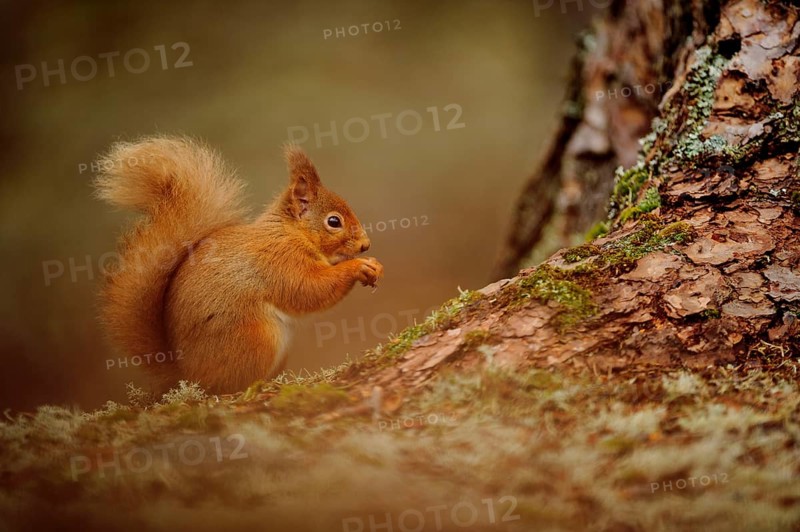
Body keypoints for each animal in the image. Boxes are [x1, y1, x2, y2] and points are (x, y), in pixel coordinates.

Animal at [94, 135, 383, 395]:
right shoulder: (280, 260)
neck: (292, 232)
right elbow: (309, 289)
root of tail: (186, 375)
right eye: (334, 221)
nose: (366, 245)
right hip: (255, 339)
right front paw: (358, 267)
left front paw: (374, 264)